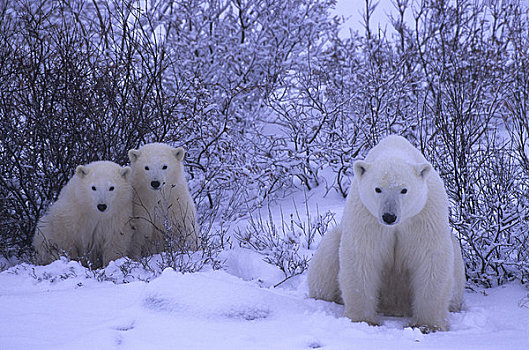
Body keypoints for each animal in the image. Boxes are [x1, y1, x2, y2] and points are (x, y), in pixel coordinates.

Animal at [308, 135, 464, 332]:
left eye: (404, 190)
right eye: (378, 189)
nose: (389, 216)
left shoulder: (424, 214)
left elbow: (430, 257)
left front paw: (428, 325)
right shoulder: (366, 215)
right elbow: (362, 256)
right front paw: (362, 320)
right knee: (327, 256)